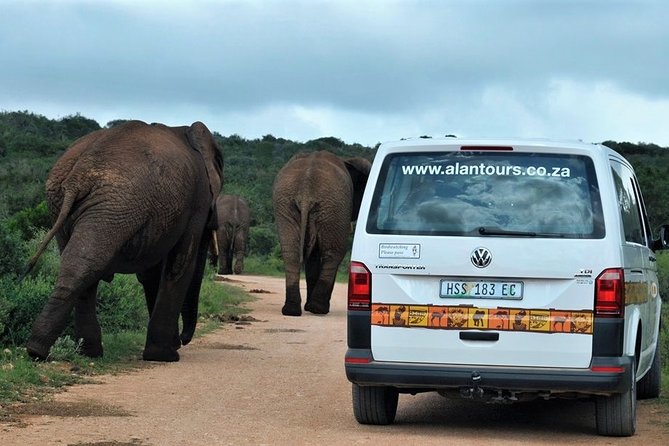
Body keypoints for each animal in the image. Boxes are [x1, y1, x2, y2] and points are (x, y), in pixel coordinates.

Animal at [23, 120, 223, 362]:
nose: (183, 340)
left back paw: (67, 352)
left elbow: (152, 273)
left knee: (79, 263)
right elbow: (180, 264)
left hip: (67, 202)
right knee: (87, 262)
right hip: (116, 204)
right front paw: (165, 355)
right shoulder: (198, 200)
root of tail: (77, 176)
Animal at [272, 150, 371, 316]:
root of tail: (306, 189)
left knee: (291, 252)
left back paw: (292, 310)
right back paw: (318, 309)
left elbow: (312, 256)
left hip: (286, 205)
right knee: (333, 253)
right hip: (334, 207)